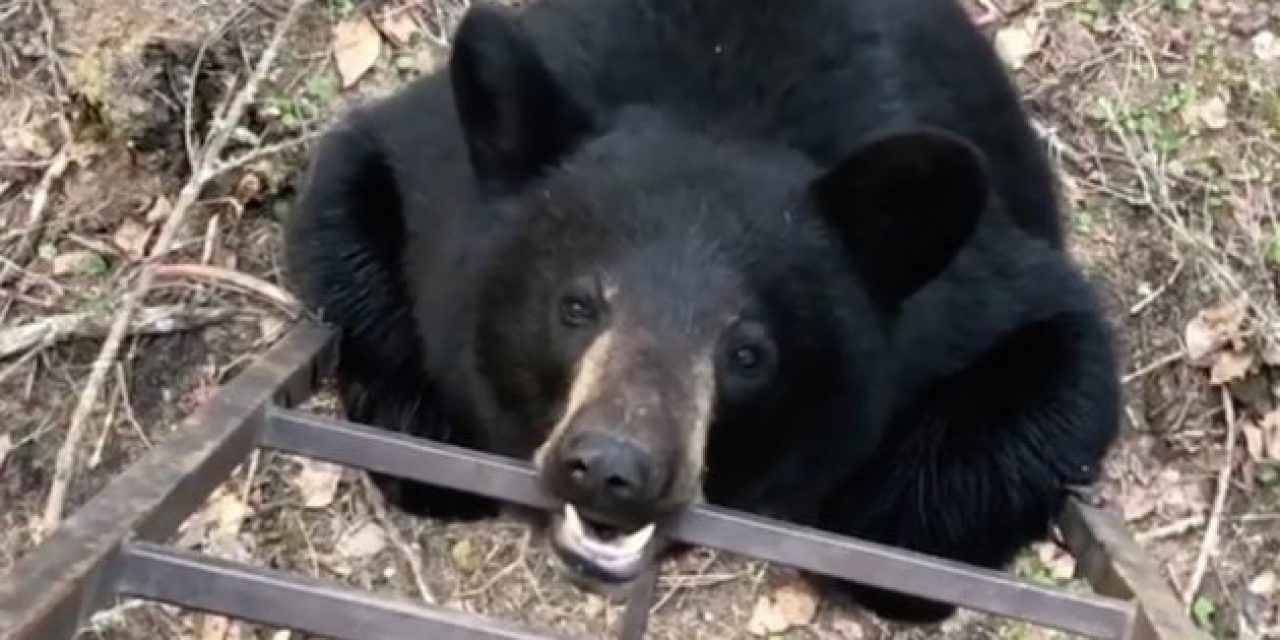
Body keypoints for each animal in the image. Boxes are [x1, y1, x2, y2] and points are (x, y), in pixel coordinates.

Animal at [282, 0, 1121, 624]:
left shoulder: (966, 299)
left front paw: (884, 551)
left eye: (748, 353)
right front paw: (425, 436)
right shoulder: (438, 183)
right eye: (576, 305)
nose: (611, 469)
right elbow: (351, 192)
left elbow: (1061, 353)